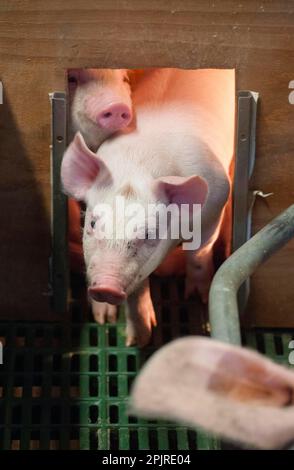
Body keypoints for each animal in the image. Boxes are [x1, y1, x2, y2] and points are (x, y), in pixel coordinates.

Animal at [61, 68, 232, 346]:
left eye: (150, 234)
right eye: (92, 223)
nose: (105, 287)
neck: (139, 163)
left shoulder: (216, 203)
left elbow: (199, 252)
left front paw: (198, 297)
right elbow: (136, 288)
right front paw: (133, 338)